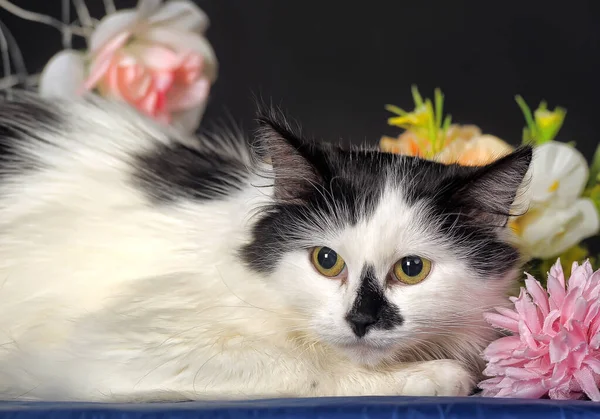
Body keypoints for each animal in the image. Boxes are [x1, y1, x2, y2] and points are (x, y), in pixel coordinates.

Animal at [0, 93, 532, 402]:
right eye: (326, 261)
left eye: (412, 269)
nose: (360, 321)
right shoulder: (120, 347)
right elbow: (306, 366)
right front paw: (433, 376)